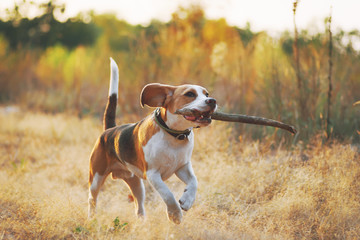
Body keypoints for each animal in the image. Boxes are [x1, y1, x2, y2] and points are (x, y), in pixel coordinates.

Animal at [88, 59, 217, 224]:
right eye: (190, 94)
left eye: (206, 94)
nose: (212, 101)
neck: (174, 136)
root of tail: (110, 130)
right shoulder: (153, 174)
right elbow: (168, 194)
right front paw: (175, 214)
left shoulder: (182, 167)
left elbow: (194, 182)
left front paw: (187, 200)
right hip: (96, 178)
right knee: (92, 199)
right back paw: (91, 218)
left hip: (136, 183)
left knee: (138, 205)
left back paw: (142, 222)